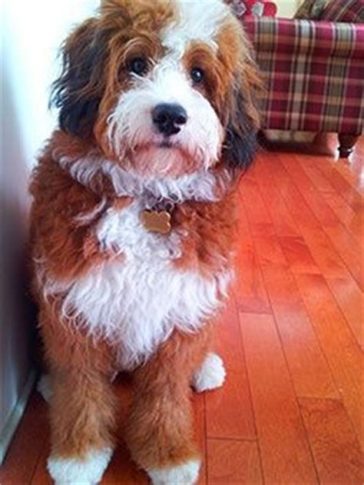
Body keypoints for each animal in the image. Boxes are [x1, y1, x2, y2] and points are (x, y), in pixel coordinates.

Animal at [29, 1, 262, 482]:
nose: (170, 115)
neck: (147, 194)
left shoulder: (180, 307)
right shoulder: (74, 305)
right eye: (136, 64)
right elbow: (81, 388)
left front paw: (168, 455)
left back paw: (205, 368)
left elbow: (164, 394)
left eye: (198, 74)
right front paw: (79, 457)